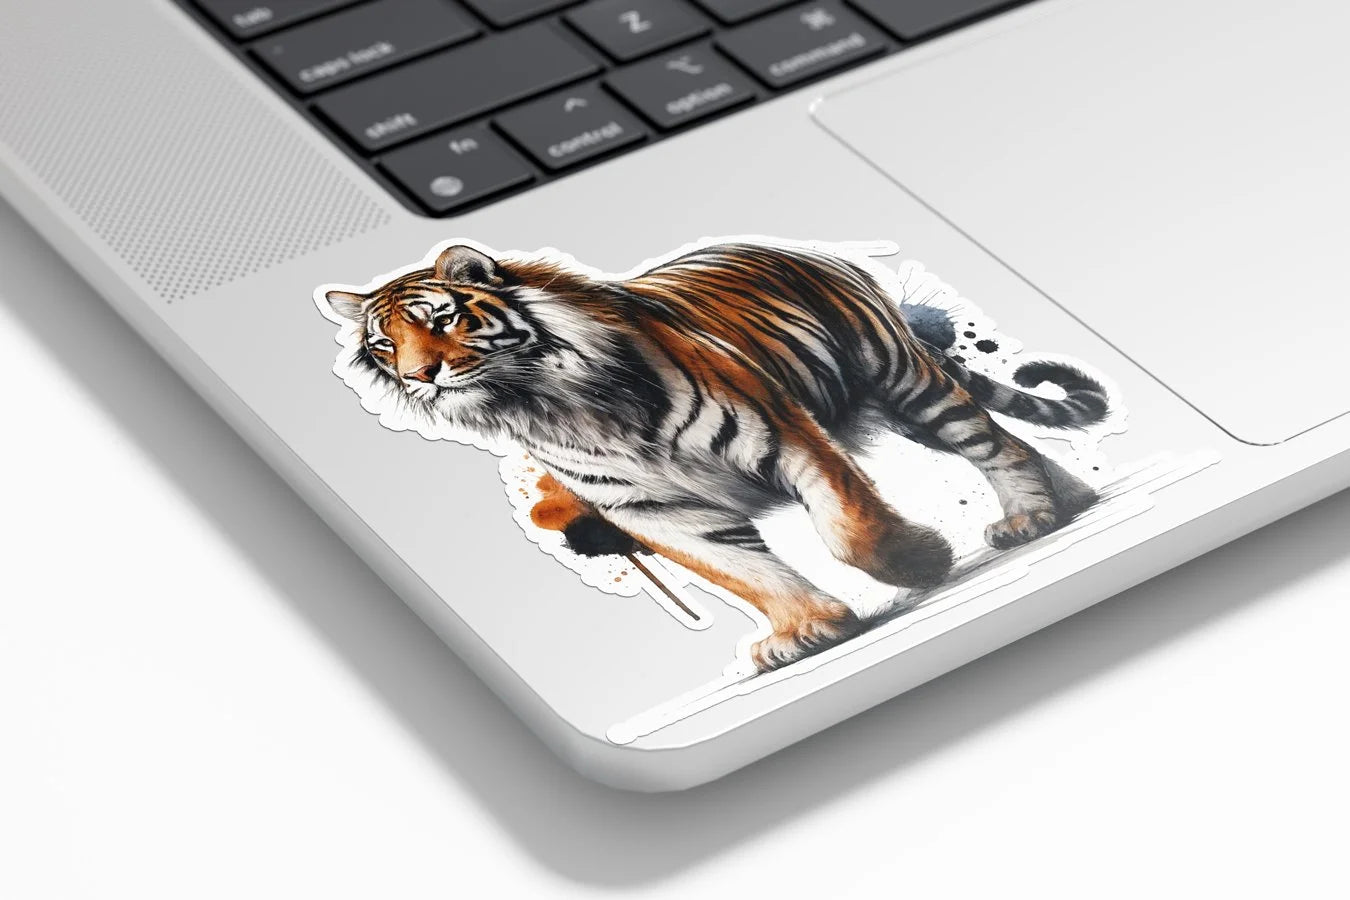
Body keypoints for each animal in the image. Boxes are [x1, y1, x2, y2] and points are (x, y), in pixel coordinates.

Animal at [322, 241, 1109, 671]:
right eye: (385, 343)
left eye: (441, 319)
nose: (420, 375)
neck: (542, 401)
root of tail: (797, 246)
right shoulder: (652, 510)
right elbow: (741, 573)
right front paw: (803, 632)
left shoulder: (783, 433)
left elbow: (847, 530)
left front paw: (920, 563)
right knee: (1011, 439)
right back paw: (1069, 500)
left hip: (904, 380)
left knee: (990, 440)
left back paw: (1033, 517)